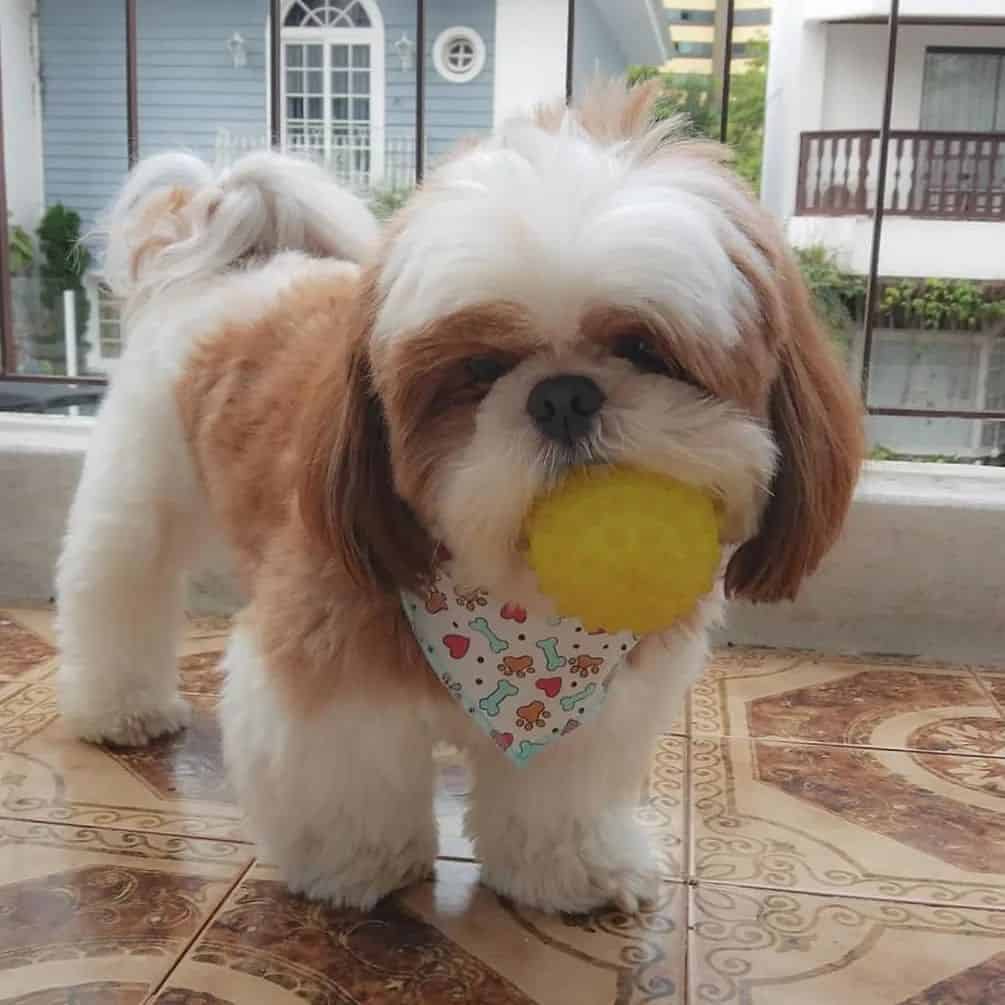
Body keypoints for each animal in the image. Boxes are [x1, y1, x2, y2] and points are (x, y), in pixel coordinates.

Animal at [55, 82, 864, 916]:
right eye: (478, 368)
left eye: (645, 348)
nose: (563, 394)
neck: (514, 606)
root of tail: (225, 265)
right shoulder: (328, 660)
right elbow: (343, 774)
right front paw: (358, 863)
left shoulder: (594, 711)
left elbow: (558, 798)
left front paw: (570, 868)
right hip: (139, 492)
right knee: (117, 591)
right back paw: (120, 706)